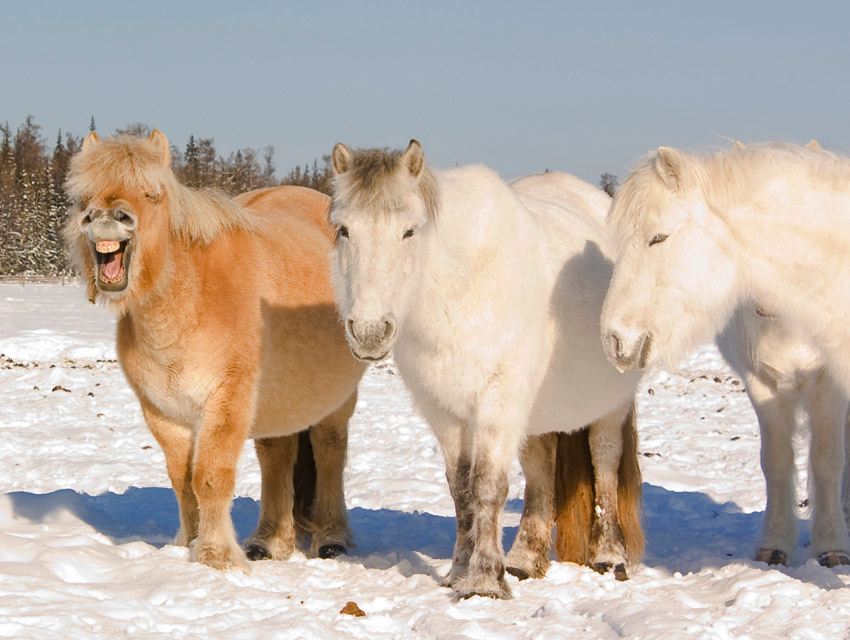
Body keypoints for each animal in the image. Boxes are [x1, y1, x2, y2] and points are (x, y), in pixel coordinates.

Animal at [62, 130, 362, 568]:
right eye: (84, 197)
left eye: (152, 195)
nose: (105, 218)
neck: (193, 301)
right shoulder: (162, 411)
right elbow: (182, 479)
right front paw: (187, 543)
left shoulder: (225, 399)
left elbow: (210, 476)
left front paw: (215, 556)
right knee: (277, 455)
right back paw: (269, 542)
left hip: (333, 401)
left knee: (329, 453)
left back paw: (331, 538)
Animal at [328, 140, 640, 600]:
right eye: (345, 230)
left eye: (409, 231)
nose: (368, 332)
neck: (458, 286)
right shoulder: (442, 409)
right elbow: (461, 489)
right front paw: (459, 571)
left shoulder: (498, 398)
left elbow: (488, 485)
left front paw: (484, 581)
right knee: (540, 470)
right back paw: (525, 559)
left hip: (609, 407)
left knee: (605, 465)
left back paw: (610, 555)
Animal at [600, 142, 848, 568]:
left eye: (658, 238)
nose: (613, 337)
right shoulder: (762, 385)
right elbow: (777, 462)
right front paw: (775, 545)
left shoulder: (827, 384)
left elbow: (827, 460)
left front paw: (832, 545)